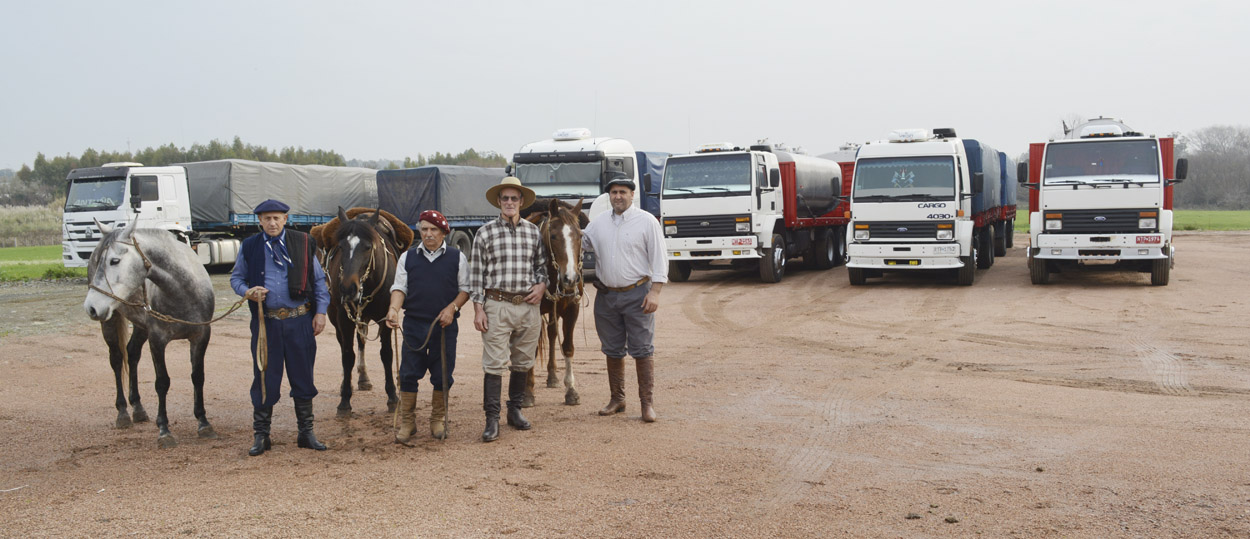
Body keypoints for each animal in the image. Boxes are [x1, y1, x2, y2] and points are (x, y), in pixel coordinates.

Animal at [83, 221, 217, 450]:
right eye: (100, 260)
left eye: (114, 260)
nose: (90, 306)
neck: (182, 291)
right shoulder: (157, 339)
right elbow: (162, 382)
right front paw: (164, 431)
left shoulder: (200, 337)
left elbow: (198, 377)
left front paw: (203, 423)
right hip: (109, 320)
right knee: (117, 360)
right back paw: (123, 413)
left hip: (140, 326)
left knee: (132, 354)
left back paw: (137, 408)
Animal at [315, 208, 412, 415]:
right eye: (341, 247)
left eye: (367, 247)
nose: (347, 288)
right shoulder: (343, 318)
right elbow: (347, 355)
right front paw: (345, 400)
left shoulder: (385, 316)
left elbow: (386, 354)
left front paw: (393, 396)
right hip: (337, 316)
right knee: (349, 344)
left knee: (362, 340)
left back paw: (364, 378)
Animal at [522, 200, 590, 407]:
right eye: (553, 236)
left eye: (579, 235)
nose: (570, 278)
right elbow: (532, 349)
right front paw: (528, 393)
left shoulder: (572, 309)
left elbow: (567, 346)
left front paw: (571, 391)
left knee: (552, 334)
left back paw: (552, 376)